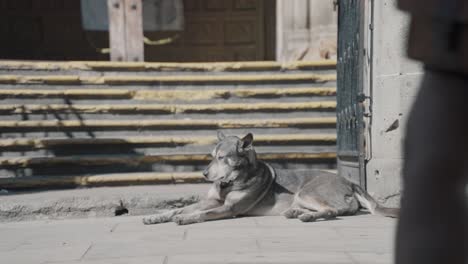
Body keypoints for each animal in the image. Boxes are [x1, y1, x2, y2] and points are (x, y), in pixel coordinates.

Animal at [143, 132, 398, 225]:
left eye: (222, 158)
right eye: (211, 157)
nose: (204, 174)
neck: (229, 183)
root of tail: (350, 182)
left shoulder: (228, 208)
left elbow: (200, 214)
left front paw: (187, 218)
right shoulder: (212, 200)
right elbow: (177, 209)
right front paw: (156, 217)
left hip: (307, 191)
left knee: (334, 211)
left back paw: (306, 217)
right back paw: (295, 213)